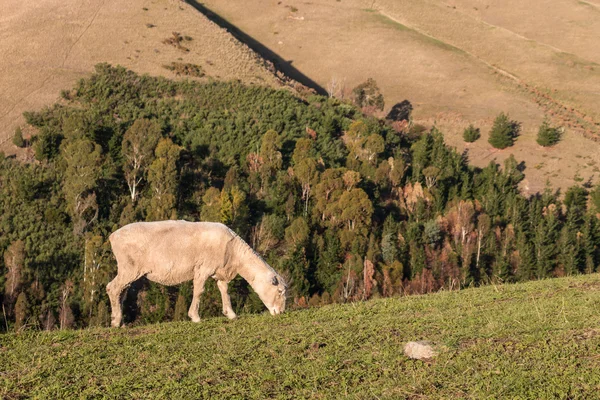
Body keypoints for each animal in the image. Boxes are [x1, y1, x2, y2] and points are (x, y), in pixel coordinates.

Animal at [106, 220, 288, 326]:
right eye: (280, 291)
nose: (281, 312)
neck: (235, 254)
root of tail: (113, 236)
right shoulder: (203, 268)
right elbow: (199, 291)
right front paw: (195, 316)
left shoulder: (220, 271)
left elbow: (225, 291)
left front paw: (230, 314)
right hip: (129, 268)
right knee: (112, 288)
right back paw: (116, 322)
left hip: (129, 270)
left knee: (121, 292)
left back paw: (120, 320)